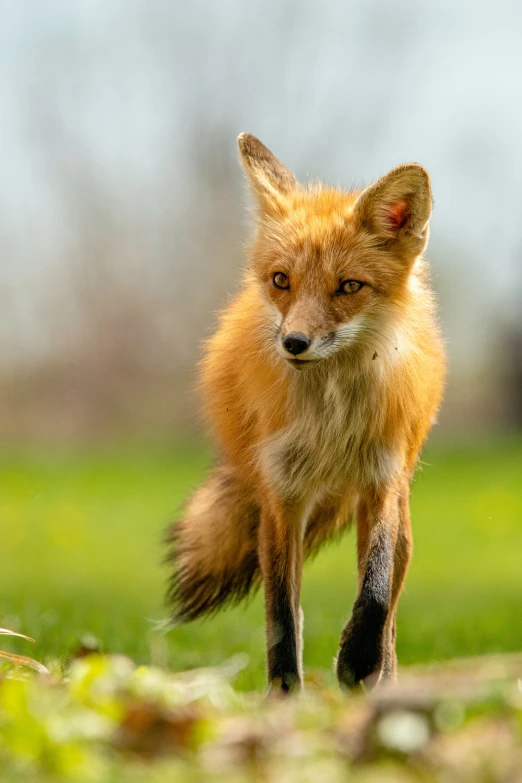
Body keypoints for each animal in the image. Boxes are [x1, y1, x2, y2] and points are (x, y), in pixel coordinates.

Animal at [165, 132, 444, 696]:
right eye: (281, 280)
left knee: (391, 607)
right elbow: (281, 616)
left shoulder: (379, 483)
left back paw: (383, 678)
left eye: (349, 286)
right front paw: (285, 695)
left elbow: (374, 593)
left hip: (398, 512)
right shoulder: (281, 499)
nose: (294, 342)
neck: (330, 422)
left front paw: (357, 660)